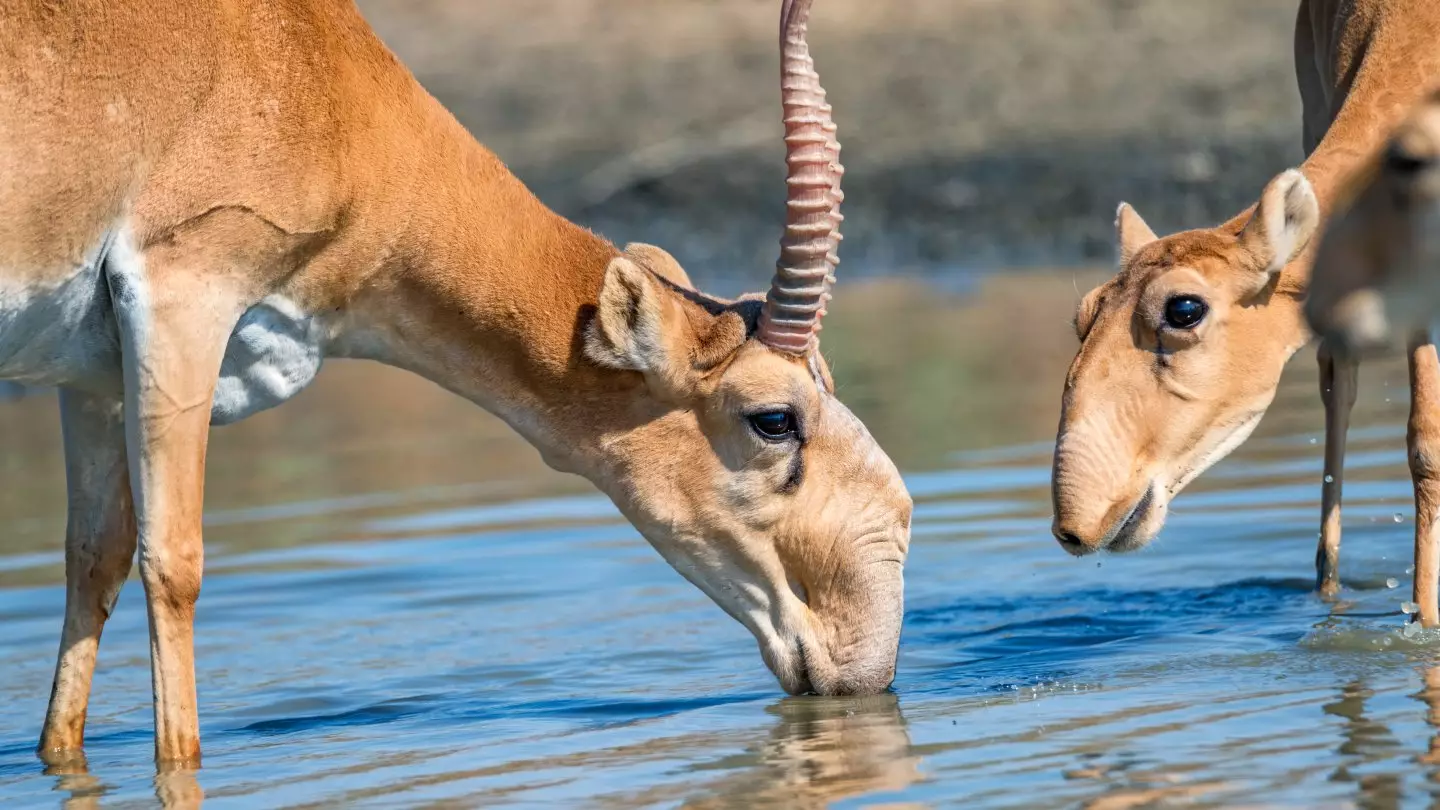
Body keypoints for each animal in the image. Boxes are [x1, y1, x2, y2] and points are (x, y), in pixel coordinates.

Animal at [5, 0, 910, 760]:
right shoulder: (181, 296)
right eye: (774, 418)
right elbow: (175, 563)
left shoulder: (93, 378)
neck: (312, 72)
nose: (868, 658)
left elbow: (95, 561)